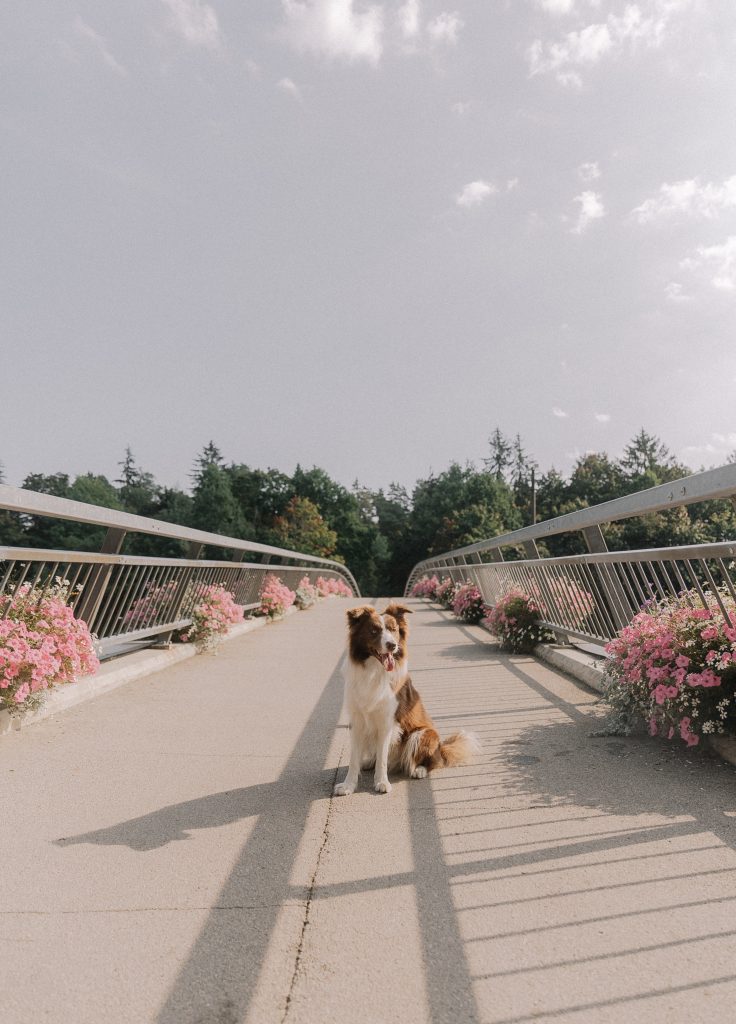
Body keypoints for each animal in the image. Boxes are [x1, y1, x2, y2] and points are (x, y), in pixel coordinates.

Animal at [331, 602, 477, 794]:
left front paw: (382, 782)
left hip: (423, 734)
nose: (392, 645)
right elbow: (354, 759)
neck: (374, 671)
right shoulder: (356, 720)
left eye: (393, 630)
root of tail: (442, 748)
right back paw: (369, 762)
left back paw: (419, 770)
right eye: (374, 631)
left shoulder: (387, 721)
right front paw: (348, 785)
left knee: (432, 762)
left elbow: (383, 758)